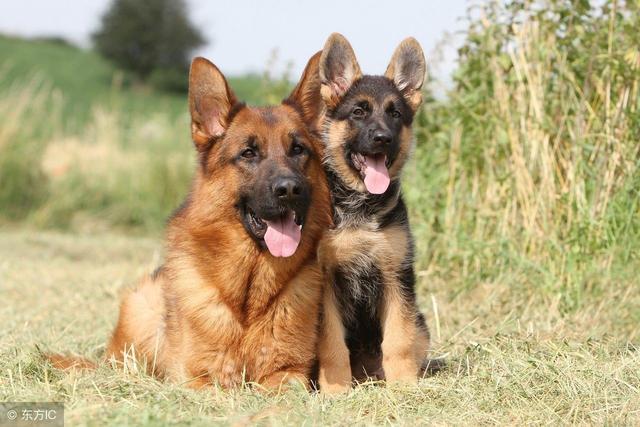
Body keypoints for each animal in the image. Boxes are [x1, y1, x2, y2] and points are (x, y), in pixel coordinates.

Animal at [47, 53, 332, 392]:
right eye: (248, 153)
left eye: (298, 149)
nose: (289, 189)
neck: (249, 299)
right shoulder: (197, 378)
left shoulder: (290, 373)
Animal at [316, 34, 430, 394]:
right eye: (358, 112)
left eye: (395, 114)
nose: (383, 138)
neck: (361, 208)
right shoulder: (326, 284)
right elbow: (332, 343)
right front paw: (335, 389)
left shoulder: (396, 276)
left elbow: (398, 339)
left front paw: (405, 384)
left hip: (421, 320)